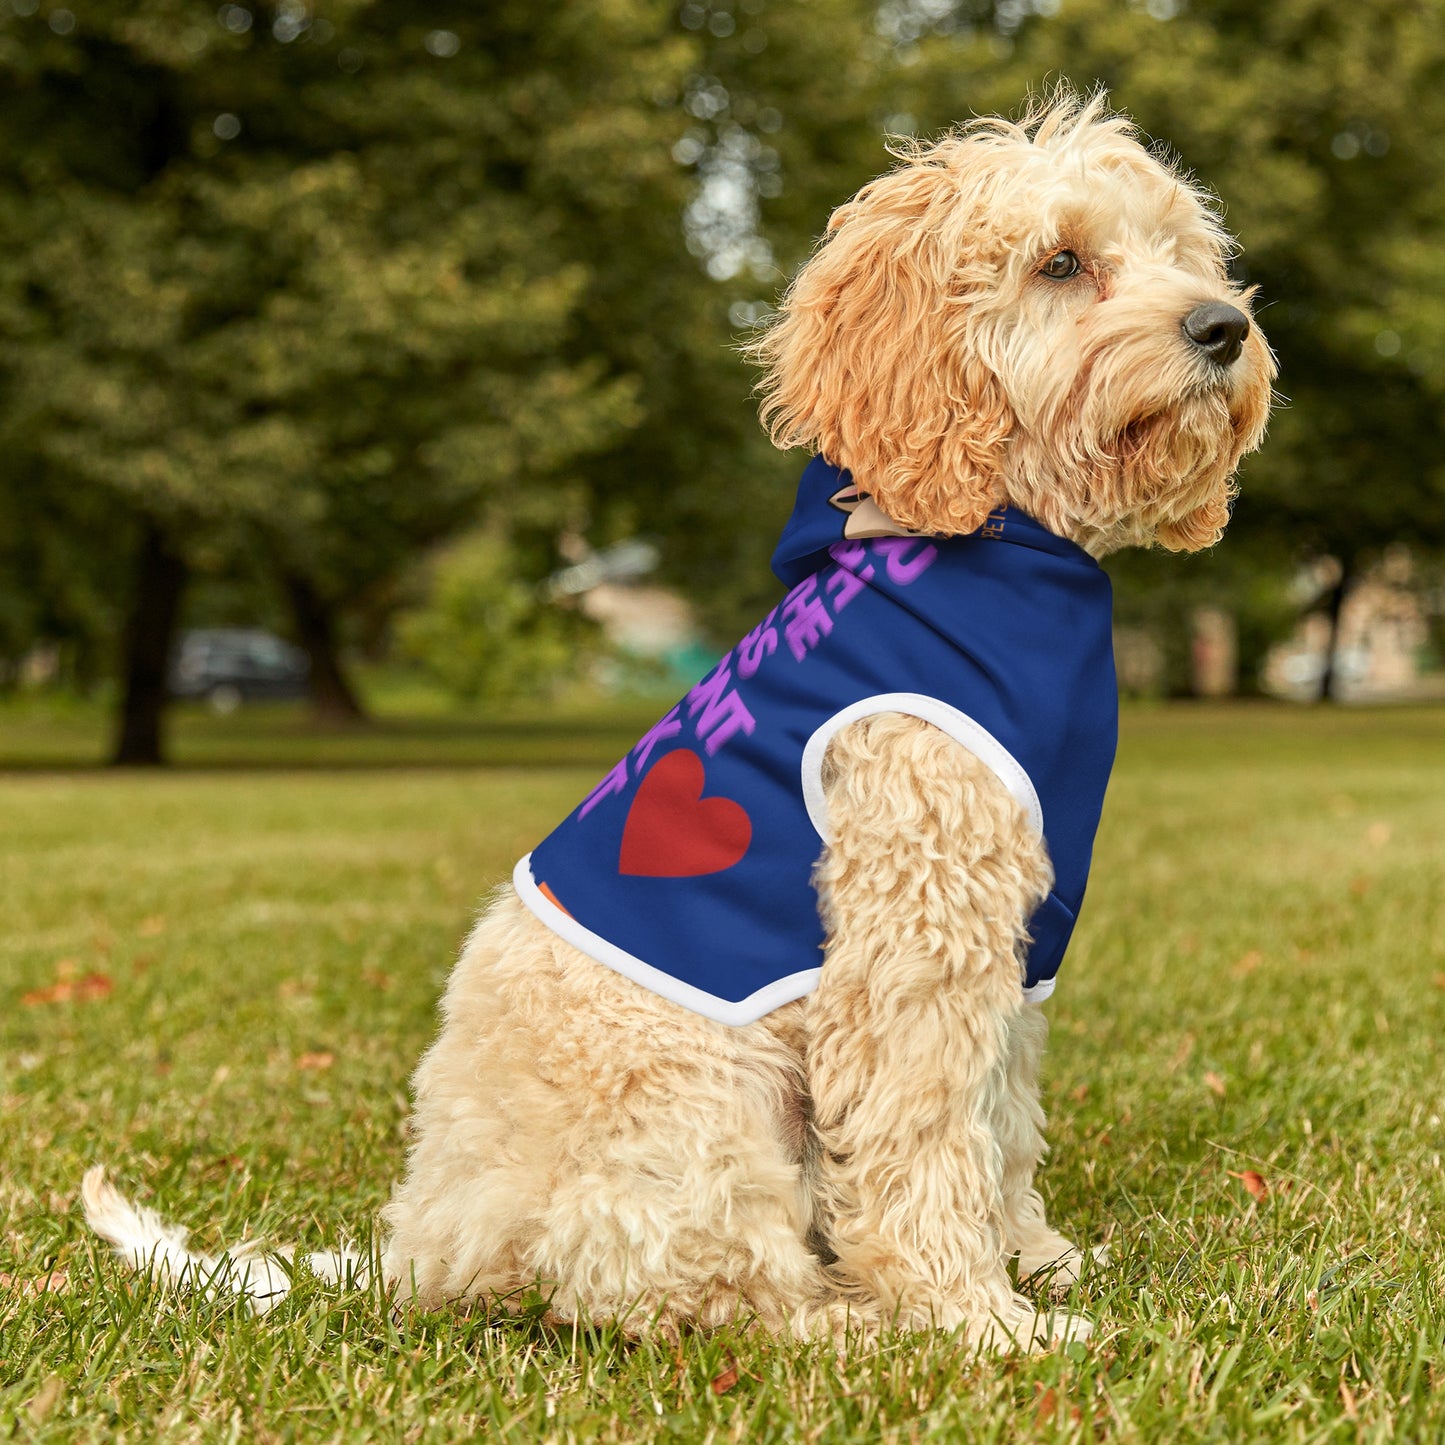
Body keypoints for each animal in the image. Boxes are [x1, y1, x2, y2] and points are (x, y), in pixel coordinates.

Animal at [84, 96, 1271, 1346]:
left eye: (1180, 252)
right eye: (1060, 262)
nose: (1222, 326)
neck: (993, 543)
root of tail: (423, 1247)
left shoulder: (1014, 938)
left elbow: (999, 1119)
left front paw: (1034, 1259)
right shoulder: (913, 933)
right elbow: (924, 1136)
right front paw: (976, 1318)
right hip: (704, 1105)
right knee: (702, 1288)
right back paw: (849, 1319)